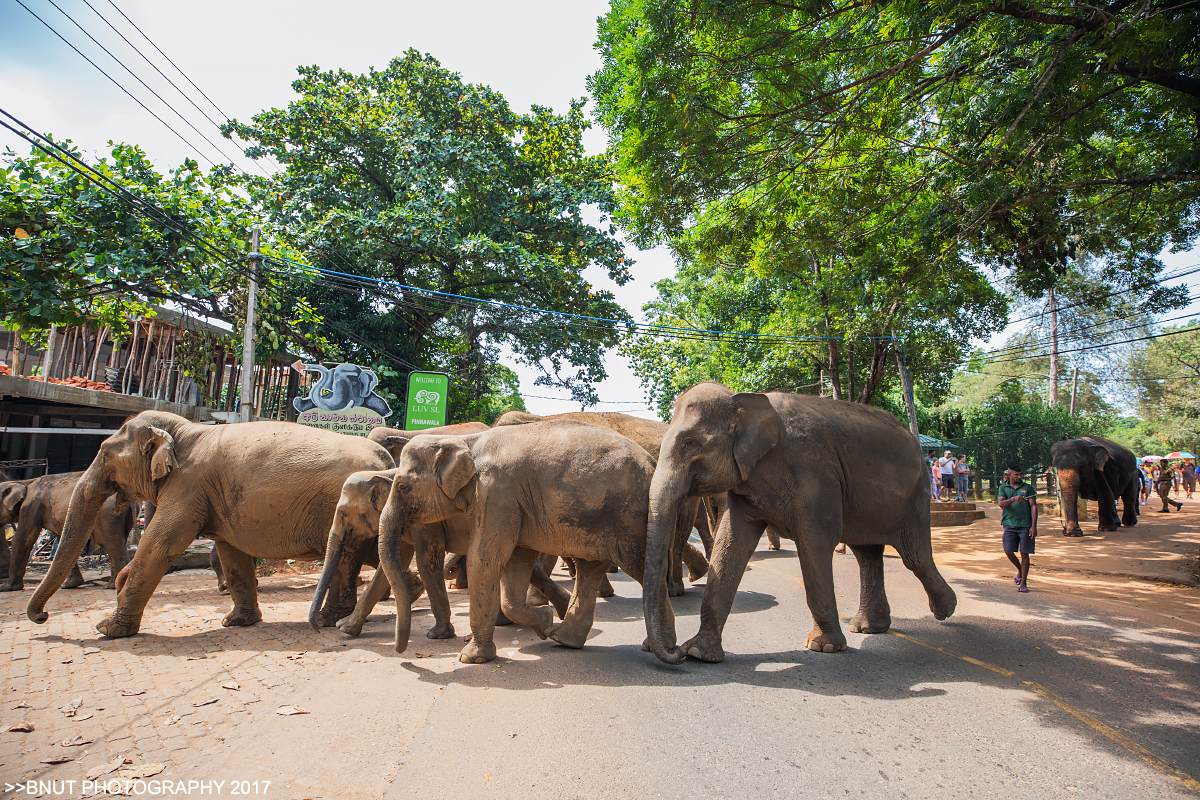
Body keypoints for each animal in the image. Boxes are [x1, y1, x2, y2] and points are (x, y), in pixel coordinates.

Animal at [1, 472, 135, 592]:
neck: (24, 482)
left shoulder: (31, 505)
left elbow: (22, 540)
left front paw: (7, 587)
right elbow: (64, 542)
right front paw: (70, 585)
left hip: (107, 517)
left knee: (112, 545)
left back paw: (113, 586)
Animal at [28, 412, 391, 638]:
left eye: (104, 455)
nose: (42, 617)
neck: (184, 430)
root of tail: (384, 457)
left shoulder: (189, 485)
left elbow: (160, 546)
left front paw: (107, 630)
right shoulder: (212, 497)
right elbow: (231, 552)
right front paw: (237, 622)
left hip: (338, 509)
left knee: (348, 555)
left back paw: (331, 620)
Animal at [374, 419, 681, 662]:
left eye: (403, 487)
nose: (402, 652)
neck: (466, 441)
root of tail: (652, 464)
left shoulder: (497, 495)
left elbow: (483, 560)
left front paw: (472, 658)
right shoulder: (511, 503)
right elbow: (515, 561)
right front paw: (544, 623)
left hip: (629, 518)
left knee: (643, 568)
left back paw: (661, 648)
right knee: (590, 568)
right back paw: (564, 639)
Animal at [643, 383, 960, 666]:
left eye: (689, 442)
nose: (676, 654)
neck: (745, 399)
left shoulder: (814, 473)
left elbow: (814, 545)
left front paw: (823, 647)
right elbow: (731, 544)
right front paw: (700, 653)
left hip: (916, 494)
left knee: (914, 556)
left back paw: (946, 609)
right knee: (867, 555)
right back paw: (868, 628)